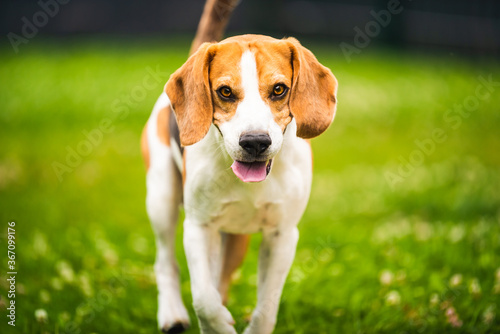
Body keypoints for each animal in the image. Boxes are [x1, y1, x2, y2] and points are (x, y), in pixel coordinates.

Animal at [143, 34, 340, 334]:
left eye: (279, 89)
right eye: (225, 92)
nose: (255, 141)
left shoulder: (282, 235)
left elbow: (267, 305)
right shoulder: (199, 227)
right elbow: (204, 299)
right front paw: (218, 327)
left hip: (235, 241)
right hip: (161, 199)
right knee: (166, 263)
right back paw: (172, 314)